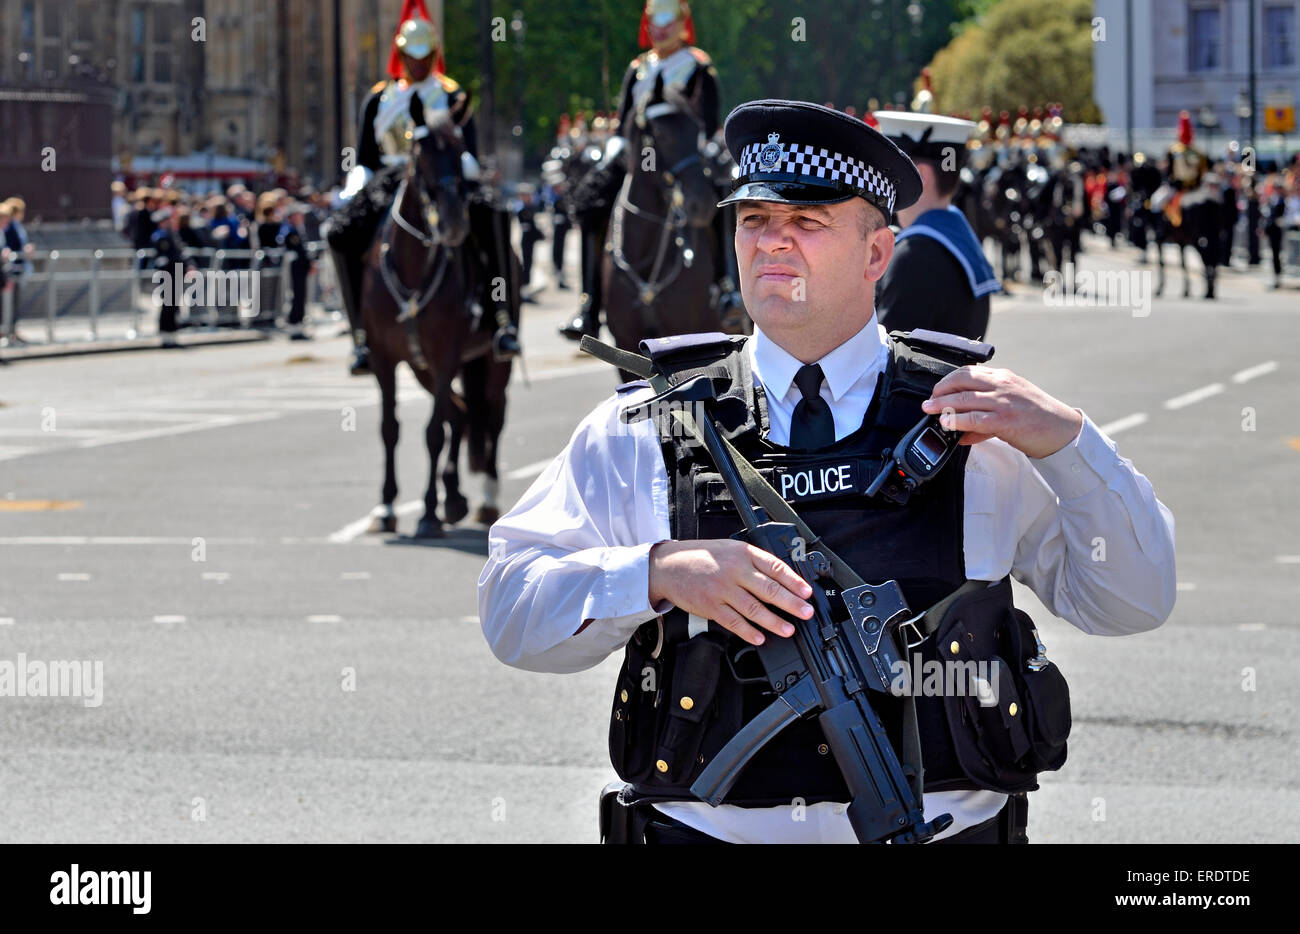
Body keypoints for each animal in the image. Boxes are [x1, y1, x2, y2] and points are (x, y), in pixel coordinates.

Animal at [361, 97, 517, 538]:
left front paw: (429, 511)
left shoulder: (446, 354)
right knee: (460, 414)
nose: (454, 223)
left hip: (491, 362)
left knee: (491, 416)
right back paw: (455, 497)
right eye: (420, 152)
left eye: (460, 150)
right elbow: (390, 428)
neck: (413, 267)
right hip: (423, 369)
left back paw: (483, 499)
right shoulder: (384, 358)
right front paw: (387, 506)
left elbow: (432, 432)